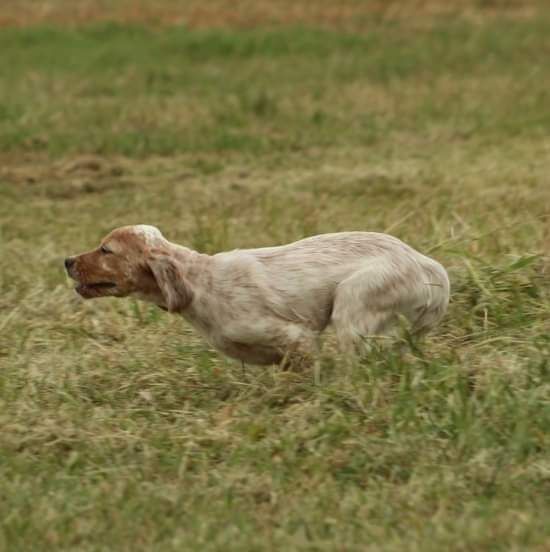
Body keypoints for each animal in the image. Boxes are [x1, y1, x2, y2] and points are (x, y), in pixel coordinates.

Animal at [66, 224, 452, 366]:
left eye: (106, 250)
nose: (67, 260)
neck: (201, 282)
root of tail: (426, 264)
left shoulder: (296, 336)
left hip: (352, 306)